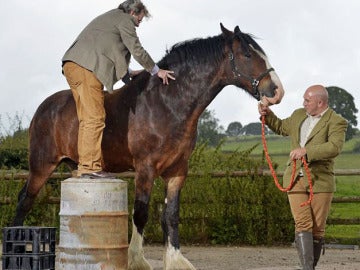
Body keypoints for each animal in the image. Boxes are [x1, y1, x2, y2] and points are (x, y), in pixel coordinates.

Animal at [12, 24, 284, 268]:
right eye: (247, 54)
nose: (276, 91)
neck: (166, 104)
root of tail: (44, 108)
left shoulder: (177, 171)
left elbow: (171, 215)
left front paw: (175, 260)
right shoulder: (145, 168)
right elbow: (140, 213)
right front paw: (136, 260)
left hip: (74, 166)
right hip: (41, 166)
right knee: (25, 200)